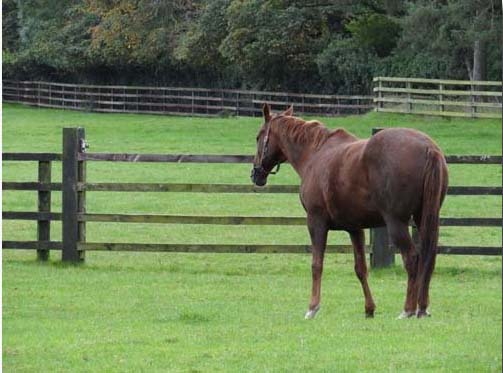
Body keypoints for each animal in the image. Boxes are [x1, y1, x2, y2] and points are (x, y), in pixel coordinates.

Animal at [251, 103, 448, 318]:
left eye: (258, 137)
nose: (255, 174)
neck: (315, 153)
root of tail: (429, 148)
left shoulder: (316, 222)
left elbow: (316, 264)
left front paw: (312, 307)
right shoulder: (355, 228)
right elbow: (360, 268)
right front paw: (369, 309)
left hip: (396, 223)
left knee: (412, 259)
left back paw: (408, 309)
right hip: (424, 219)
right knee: (428, 259)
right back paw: (422, 308)